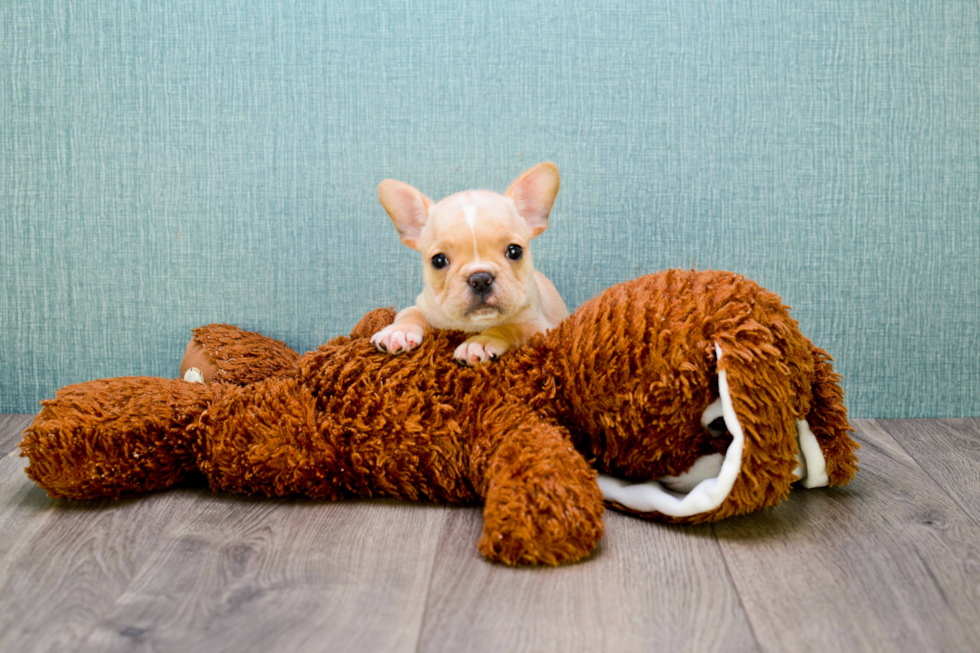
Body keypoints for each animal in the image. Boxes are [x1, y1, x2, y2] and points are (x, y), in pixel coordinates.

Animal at [370, 162, 572, 366]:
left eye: (515, 251)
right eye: (438, 260)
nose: (480, 279)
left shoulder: (537, 326)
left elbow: (508, 327)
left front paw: (480, 342)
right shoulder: (425, 306)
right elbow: (409, 313)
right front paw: (397, 330)